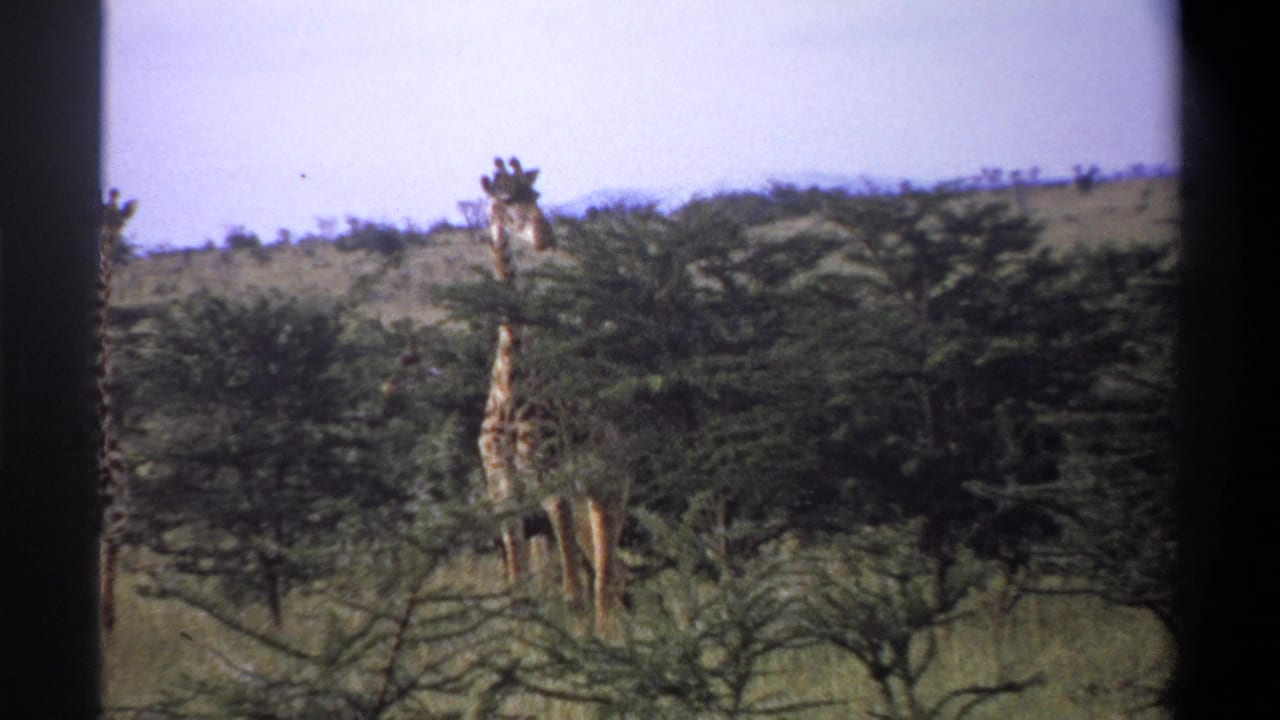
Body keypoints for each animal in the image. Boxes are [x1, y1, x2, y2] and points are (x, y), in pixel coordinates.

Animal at [476, 157, 628, 634]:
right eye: (506, 199)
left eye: (536, 195)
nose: (546, 236)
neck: (508, 383)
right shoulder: (503, 487)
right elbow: (518, 590)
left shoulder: (548, 477)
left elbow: (571, 587)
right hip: (586, 489)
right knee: (608, 563)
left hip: (609, 479)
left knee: (608, 567)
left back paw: (610, 633)